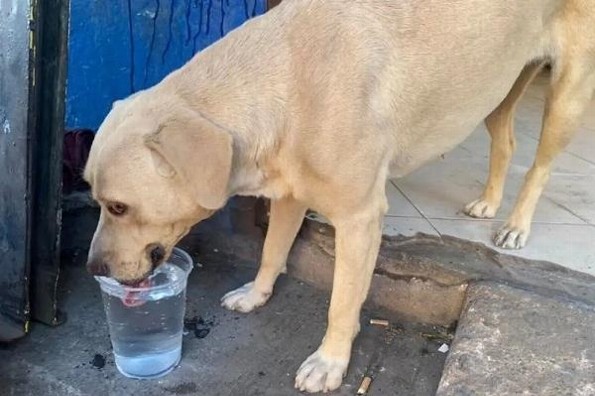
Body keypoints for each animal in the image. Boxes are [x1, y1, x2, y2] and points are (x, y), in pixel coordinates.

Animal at [85, 0, 595, 392]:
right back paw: (489, 202)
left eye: (118, 206)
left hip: (566, 97)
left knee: (541, 163)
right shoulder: (289, 195)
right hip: (497, 89)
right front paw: (257, 293)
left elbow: (342, 302)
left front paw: (330, 362)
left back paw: (516, 225)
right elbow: (272, 250)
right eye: (94, 198)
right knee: (505, 141)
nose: (92, 270)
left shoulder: (359, 218)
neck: (281, 84)